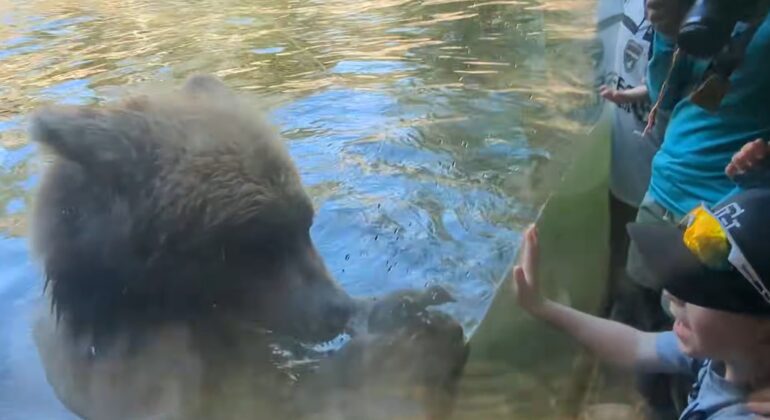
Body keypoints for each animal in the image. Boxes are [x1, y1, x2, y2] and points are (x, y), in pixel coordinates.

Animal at [28, 74, 469, 420]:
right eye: (259, 243)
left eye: (306, 225)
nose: (334, 309)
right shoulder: (141, 378)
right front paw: (413, 344)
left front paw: (410, 305)